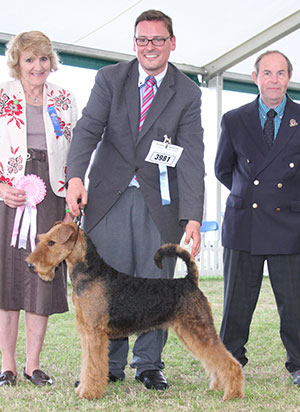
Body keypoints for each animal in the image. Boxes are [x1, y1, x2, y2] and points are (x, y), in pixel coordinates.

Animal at [27, 222, 245, 400]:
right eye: (43, 239)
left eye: (52, 242)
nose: (30, 265)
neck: (90, 274)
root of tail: (190, 280)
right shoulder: (88, 332)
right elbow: (88, 364)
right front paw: (83, 389)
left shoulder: (95, 333)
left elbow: (93, 366)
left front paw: (89, 393)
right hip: (190, 332)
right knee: (214, 359)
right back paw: (218, 387)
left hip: (198, 329)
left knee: (229, 361)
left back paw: (232, 394)